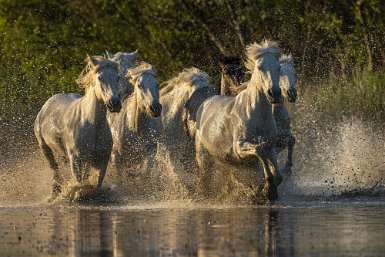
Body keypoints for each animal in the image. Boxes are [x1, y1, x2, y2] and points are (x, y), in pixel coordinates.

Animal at [35, 56, 121, 200]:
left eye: (118, 77)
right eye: (100, 78)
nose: (114, 103)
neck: (93, 126)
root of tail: (46, 105)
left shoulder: (102, 159)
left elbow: (96, 184)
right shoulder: (76, 159)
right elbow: (80, 184)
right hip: (45, 147)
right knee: (54, 170)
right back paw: (54, 194)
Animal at [195, 39, 282, 200]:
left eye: (278, 67)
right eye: (260, 67)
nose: (274, 93)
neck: (257, 114)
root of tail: (206, 102)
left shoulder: (271, 146)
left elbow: (278, 174)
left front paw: (265, 190)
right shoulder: (239, 147)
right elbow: (259, 150)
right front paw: (267, 189)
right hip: (204, 159)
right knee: (205, 180)